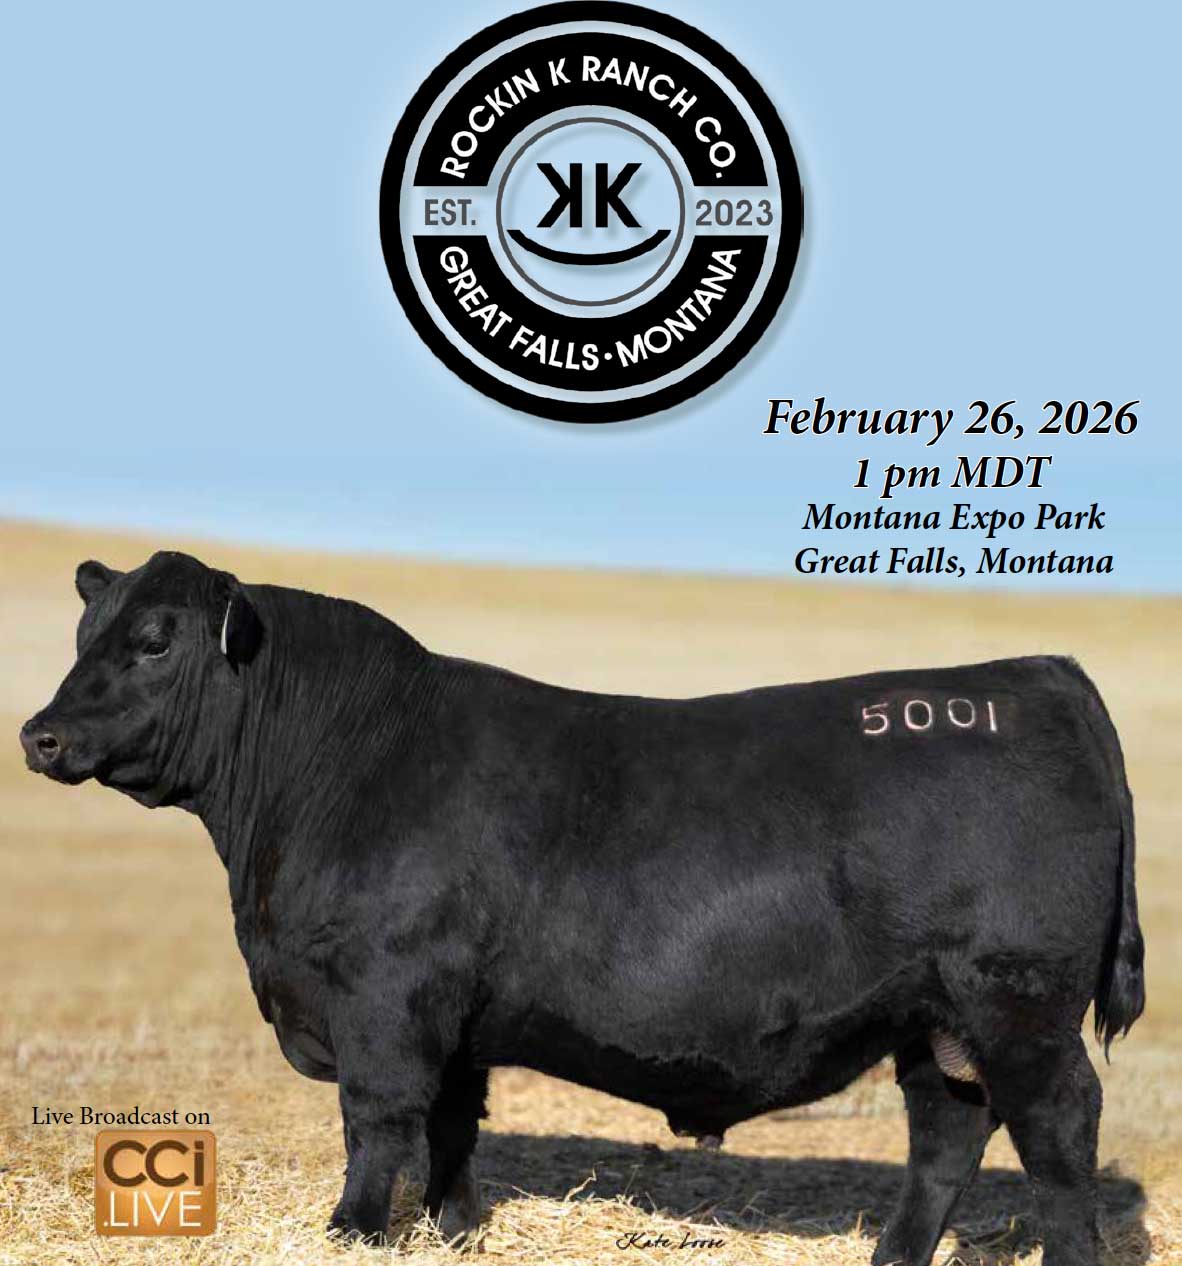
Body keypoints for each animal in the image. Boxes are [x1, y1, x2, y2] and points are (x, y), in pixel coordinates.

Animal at [20, 550, 1144, 1266]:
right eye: (85, 631)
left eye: (156, 640)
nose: (39, 734)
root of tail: (1038, 673)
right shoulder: (454, 1018)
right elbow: (453, 1126)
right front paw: (455, 1232)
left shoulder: (384, 995)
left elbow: (378, 1119)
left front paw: (353, 1231)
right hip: (934, 1015)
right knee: (946, 1130)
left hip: (1017, 1002)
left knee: (1055, 1131)